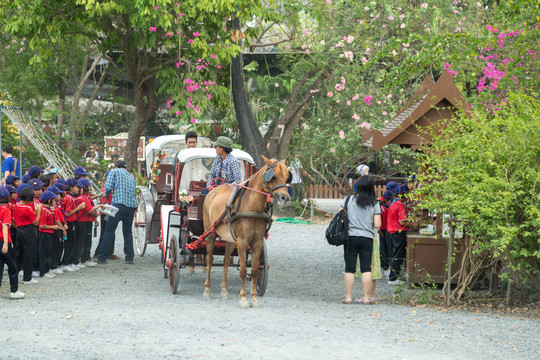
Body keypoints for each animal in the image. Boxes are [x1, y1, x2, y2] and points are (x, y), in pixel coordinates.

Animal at [202, 156, 292, 308]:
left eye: (287, 177)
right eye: (273, 176)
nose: (285, 198)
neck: (252, 207)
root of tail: (214, 189)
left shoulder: (257, 242)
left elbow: (255, 271)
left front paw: (254, 298)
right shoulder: (242, 242)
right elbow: (244, 271)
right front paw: (243, 299)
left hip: (230, 239)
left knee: (226, 261)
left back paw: (224, 290)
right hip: (210, 233)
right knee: (209, 259)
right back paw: (207, 290)